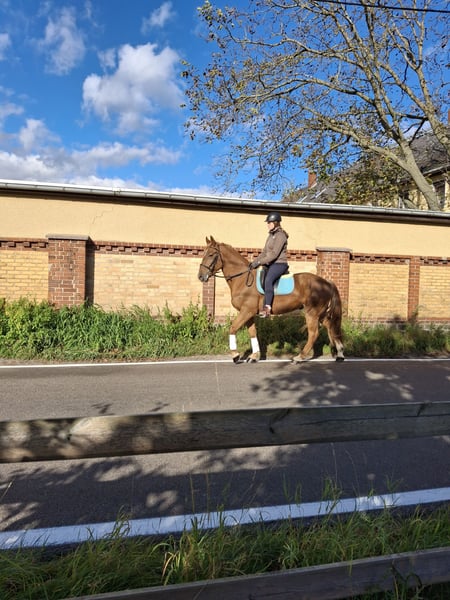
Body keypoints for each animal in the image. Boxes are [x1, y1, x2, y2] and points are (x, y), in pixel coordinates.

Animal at [198, 236, 345, 363]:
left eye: (211, 255)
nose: (201, 276)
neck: (243, 279)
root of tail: (326, 283)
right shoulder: (249, 314)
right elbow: (253, 333)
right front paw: (253, 356)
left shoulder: (246, 311)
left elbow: (232, 328)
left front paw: (235, 355)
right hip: (320, 314)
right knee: (331, 327)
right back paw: (340, 354)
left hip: (312, 314)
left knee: (314, 334)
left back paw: (299, 357)